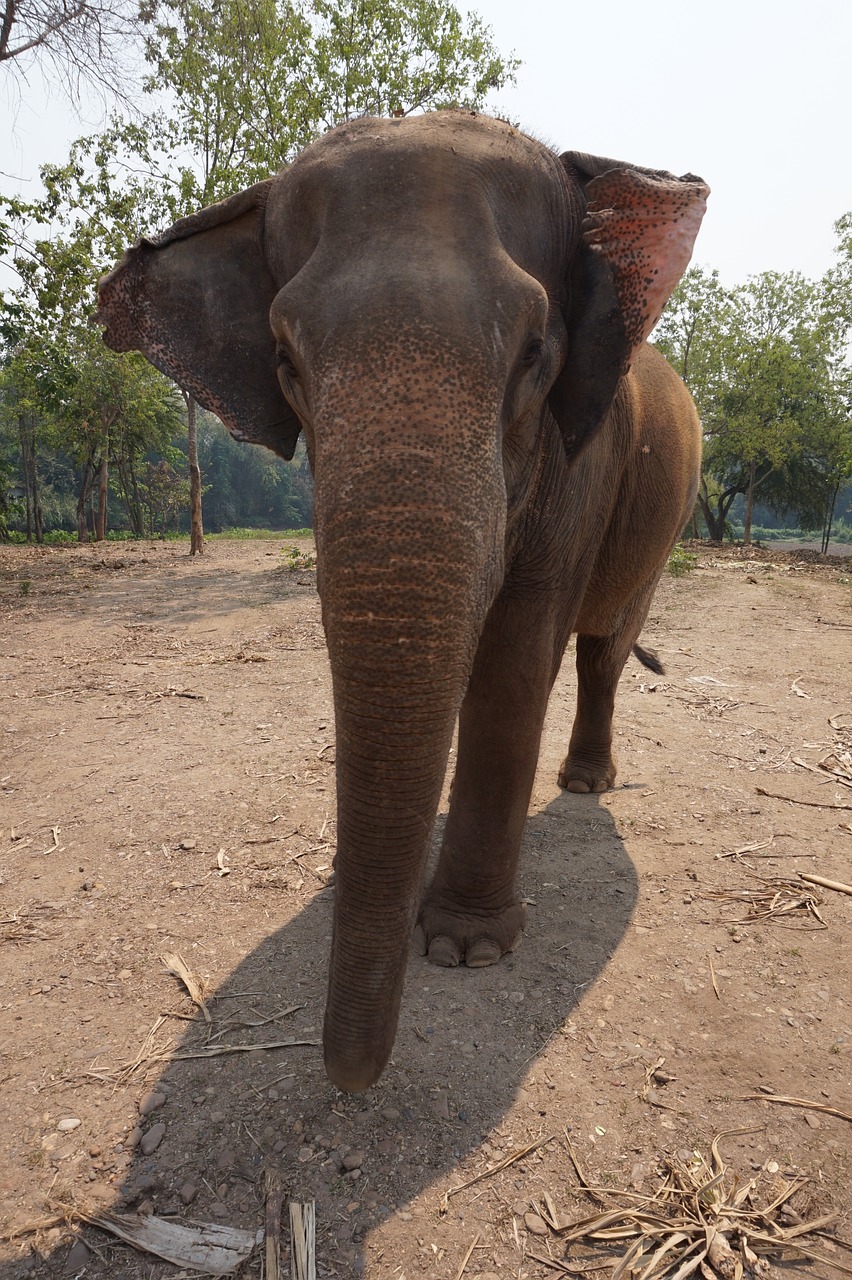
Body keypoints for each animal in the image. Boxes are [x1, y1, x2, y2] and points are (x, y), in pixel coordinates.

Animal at [94, 107, 701, 1090]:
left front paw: (464, 950)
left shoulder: (583, 464)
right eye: (284, 359)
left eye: (536, 353)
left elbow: (516, 655)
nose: (346, 1080)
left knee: (603, 646)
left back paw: (583, 783)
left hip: (664, 521)